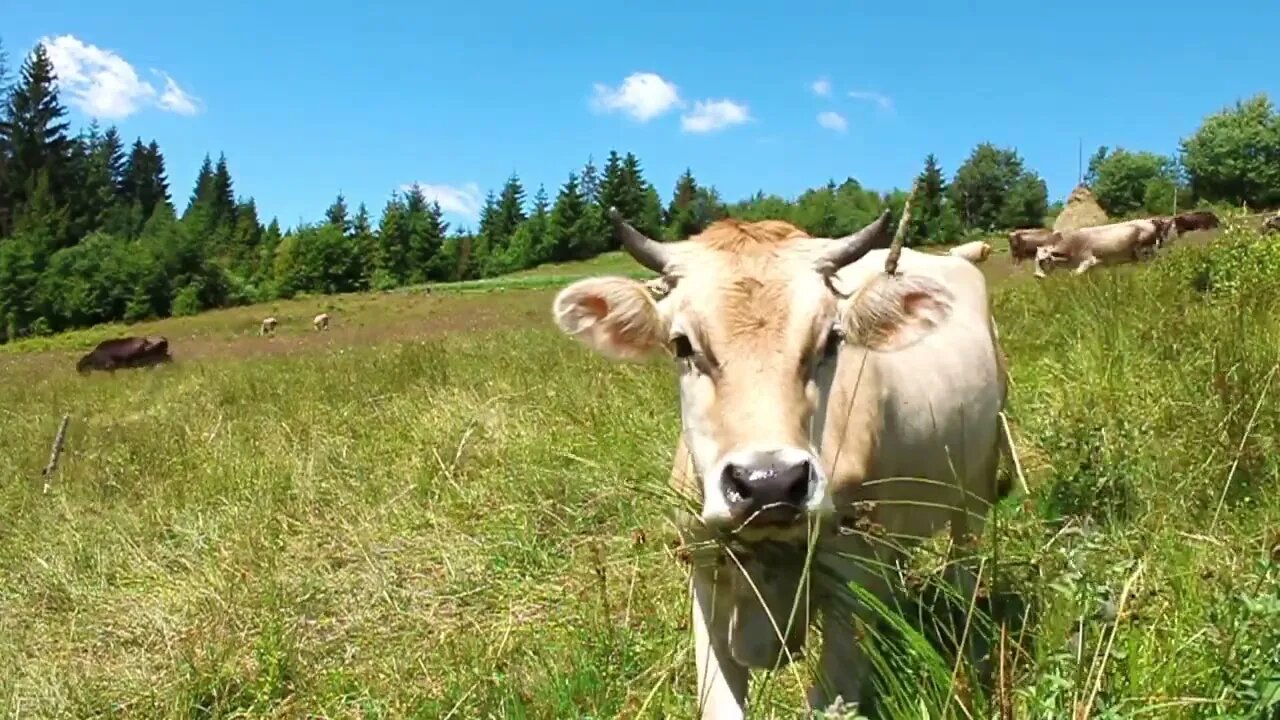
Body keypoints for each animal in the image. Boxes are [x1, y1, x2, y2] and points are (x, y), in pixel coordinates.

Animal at [555, 198, 1013, 712]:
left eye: (833, 339)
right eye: (681, 344)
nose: (769, 483)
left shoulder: (848, 585)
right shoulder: (705, 574)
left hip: (978, 485)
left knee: (966, 563)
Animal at [1034, 215, 1172, 278]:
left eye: (1044, 260)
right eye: (1036, 259)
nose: (1037, 276)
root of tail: (1149, 220)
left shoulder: (1088, 260)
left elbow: (1074, 274)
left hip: (1145, 251)